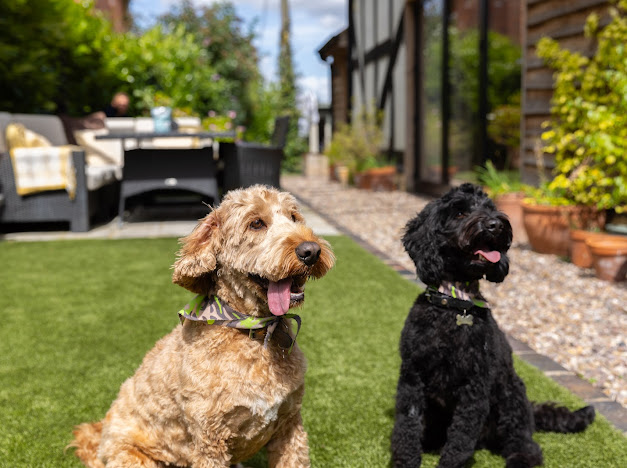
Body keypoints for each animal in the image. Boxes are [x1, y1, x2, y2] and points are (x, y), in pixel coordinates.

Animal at [70, 186, 336, 468]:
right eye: (256, 223)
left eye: (294, 217)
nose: (311, 251)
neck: (253, 331)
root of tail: (100, 442)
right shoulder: (210, 440)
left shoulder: (290, 425)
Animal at [392, 185, 592, 466]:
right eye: (460, 213)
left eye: (489, 208)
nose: (495, 224)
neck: (456, 302)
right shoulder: (412, 377)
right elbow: (407, 426)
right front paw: (406, 459)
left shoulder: (475, 385)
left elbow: (461, 436)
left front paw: (451, 462)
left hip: (510, 395)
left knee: (525, 441)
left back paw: (521, 458)